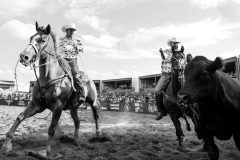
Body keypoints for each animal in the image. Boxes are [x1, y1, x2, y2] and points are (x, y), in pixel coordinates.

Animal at [1, 22, 100, 154]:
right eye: (30, 38)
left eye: (42, 40)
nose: (23, 56)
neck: (48, 78)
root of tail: (90, 80)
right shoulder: (37, 104)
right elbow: (20, 117)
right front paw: (7, 144)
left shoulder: (58, 106)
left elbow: (51, 128)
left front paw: (46, 151)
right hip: (74, 107)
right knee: (77, 121)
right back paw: (75, 141)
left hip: (92, 101)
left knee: (96, 115)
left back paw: (98, 136)